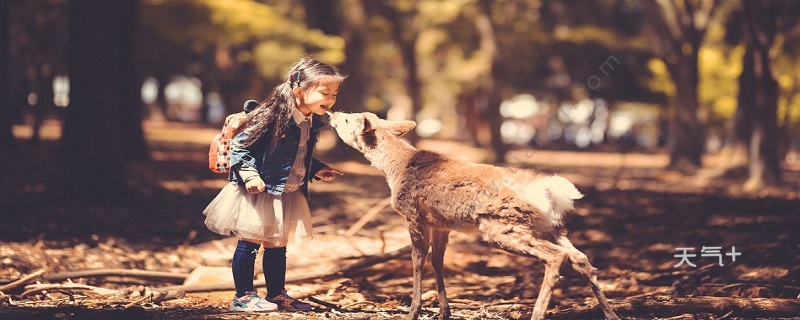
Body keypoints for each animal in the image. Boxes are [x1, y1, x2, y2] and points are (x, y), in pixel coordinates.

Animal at [324, 110, 620, 320]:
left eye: (349, 118)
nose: (332, 112)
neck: (394, 169)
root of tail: (549, 193)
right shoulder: (440, 224)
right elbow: (437, 261)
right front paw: (445, 312)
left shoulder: (414, 215)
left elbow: (417, 262)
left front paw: (413, 311)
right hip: (550, 227)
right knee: (580, 258)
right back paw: (611, 314)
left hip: (501, 226)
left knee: (557, 257)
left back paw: (537, 313)